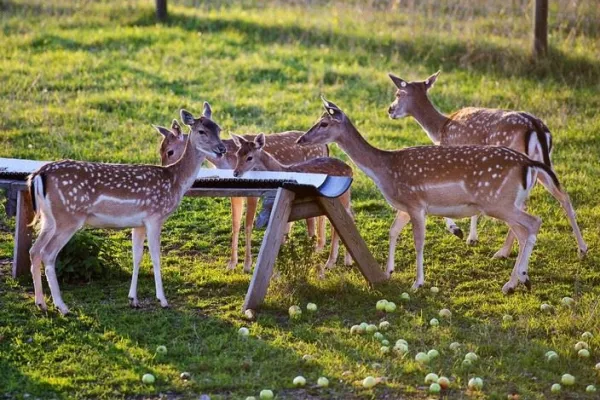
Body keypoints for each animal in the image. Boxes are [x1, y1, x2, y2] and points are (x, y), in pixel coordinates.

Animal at [27, 104, 226, 314]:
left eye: (219, 128)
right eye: (202, 131)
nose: (222, 148)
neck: (175, 181)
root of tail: (38, 175)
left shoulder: (138, 223)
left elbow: (136, 256)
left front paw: (133, 299)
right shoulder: (155, 216)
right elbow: (155, 257)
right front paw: (162, 300)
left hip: (49, 219)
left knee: (34, 250)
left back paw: (41, 303)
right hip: (68, 217)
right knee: (48, 254)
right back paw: (62, 307)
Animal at [158, 108, 328, 274]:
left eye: (170, 151)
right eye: (160, 150)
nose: (166, 170)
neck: (225, 163)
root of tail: (326, 147)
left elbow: (248, 224)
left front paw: (247, 265)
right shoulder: (235, 192)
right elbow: (235, 223)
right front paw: (231, 264)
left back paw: (319, 251)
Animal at [229, 134, 352, 278]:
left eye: (249, 157)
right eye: (237, 154)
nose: (236, 173)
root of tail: (350, 170)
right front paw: (277, 274)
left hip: (342, 196)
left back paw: (334, 262)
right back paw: (341, 261)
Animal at [300, 98, 580, 294]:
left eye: (324, 123)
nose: (302, 139)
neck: (385, 170)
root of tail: (528, 163)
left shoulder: (416, 203)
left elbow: (418, 242)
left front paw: (418, 283)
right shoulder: (404, 206)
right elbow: (392, 231)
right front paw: (389, 271)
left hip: (498, 202)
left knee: (534, 222)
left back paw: (516, 280)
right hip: (507, 203)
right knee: (526, 229)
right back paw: (518, 280)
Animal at [384, 71, 584, 260]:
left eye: (398, 93)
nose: (390, 110)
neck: (440, 130)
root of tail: (536, 127)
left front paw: (458, 230)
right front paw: (471, 237)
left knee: (523, 207)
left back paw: (503, 252)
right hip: (543, 163)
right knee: (563, 195)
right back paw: (582, 249)